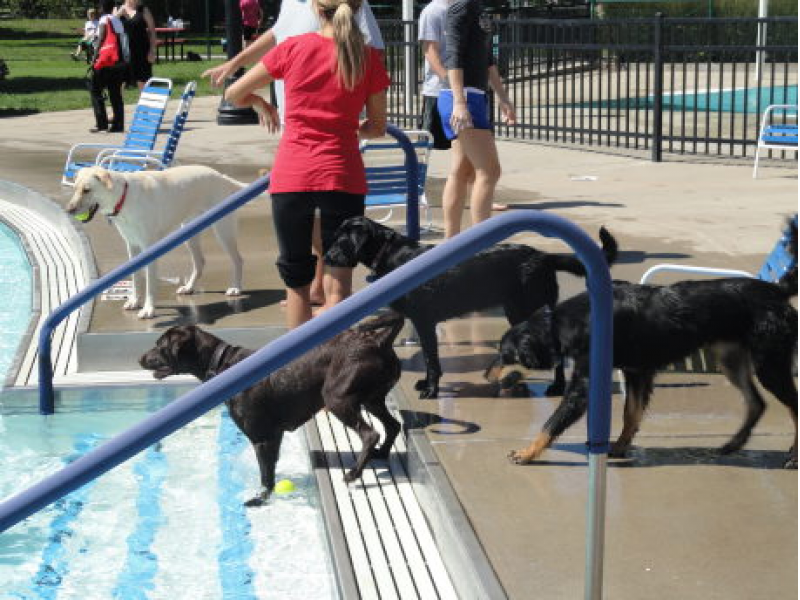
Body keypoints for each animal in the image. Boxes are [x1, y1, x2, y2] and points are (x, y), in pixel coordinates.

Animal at [138, 312, 410, 504]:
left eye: (159, 345)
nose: (140, 358)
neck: (223, 366)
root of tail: (380, 341)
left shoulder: (262, 438)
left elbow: (266, 478)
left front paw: (259, 500)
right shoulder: (274, 437)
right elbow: (271, 470)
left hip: (337, 398)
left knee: (371, 434)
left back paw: (353, 473)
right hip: (372, 399)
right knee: (393, 425)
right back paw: (381, 454)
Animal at [324, 216, 620, 398]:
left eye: (341, 240)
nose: (325, 257)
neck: (391, 254)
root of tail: (544, 256)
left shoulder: (424, 321)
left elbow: (431, 359)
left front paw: (431, 389)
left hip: (529, 309)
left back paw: (556, 387)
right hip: (515, 311)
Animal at [484, 255, 796, 466]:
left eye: (504, 354)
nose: (486, 375)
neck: (563, 322)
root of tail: (775, 290)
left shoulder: (586, 386)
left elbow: (552, 423)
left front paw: (527, 452)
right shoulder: (637, 372)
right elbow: (630, 414)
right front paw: (620, 447)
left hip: (770, 365)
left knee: (790, 405)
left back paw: (792, 456)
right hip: (733, 361)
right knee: (756, 403)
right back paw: (732, 445)